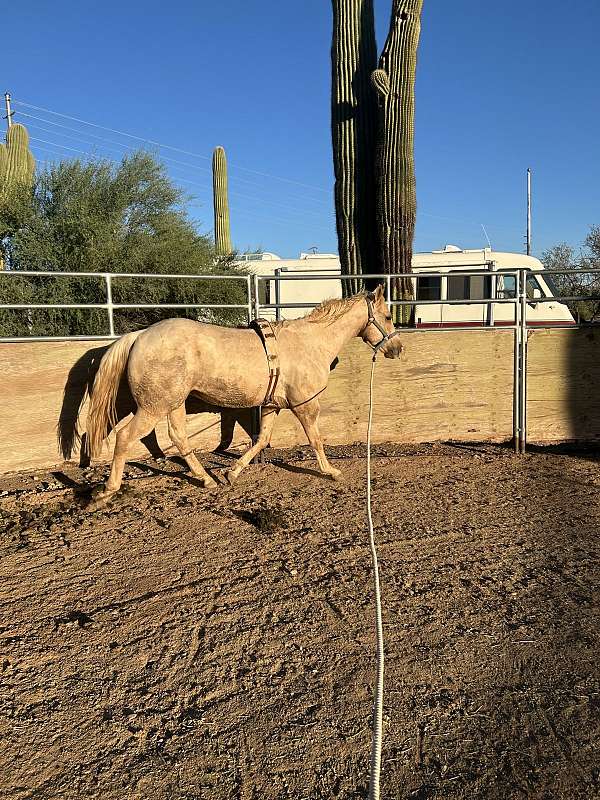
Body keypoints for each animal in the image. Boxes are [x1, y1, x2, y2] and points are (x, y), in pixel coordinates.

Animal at [85, 284, 402, 503]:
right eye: (388, 316)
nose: (397, 348)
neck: (311, 342)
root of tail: (139, 335)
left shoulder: (273, 406)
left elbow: (260, 441)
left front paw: (231, 473)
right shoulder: (305, 406)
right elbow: (315, 440)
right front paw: (331, 472)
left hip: (173, 404)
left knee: (178, 438)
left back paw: (206, 479)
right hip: (153, 407)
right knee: (125, 437)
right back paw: (107, 491)